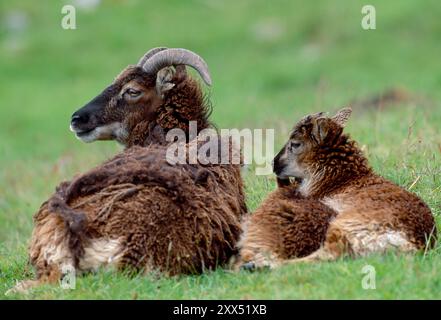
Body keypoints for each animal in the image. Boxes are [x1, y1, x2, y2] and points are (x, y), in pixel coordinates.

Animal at [237, 107, 434, 270]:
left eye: (295, 144)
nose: (274, 163)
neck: (341, 180)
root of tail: (410, 241)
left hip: (346, 226)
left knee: (328, 255)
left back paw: (259, 265)